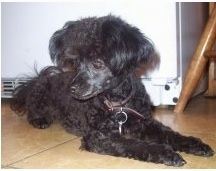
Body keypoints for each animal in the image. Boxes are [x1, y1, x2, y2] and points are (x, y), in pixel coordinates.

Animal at [11, 14, 213, 166]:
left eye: (97, 62)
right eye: (76, 63)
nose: (72, 90)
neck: (118, 103)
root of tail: (38, 79)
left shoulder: (146, 122)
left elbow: (171, 135)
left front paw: (195, 144)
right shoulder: (99, 137)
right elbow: (135, 144)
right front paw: (166, 153)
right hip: (40, 96)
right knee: (32, 109)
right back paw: (39, 120)